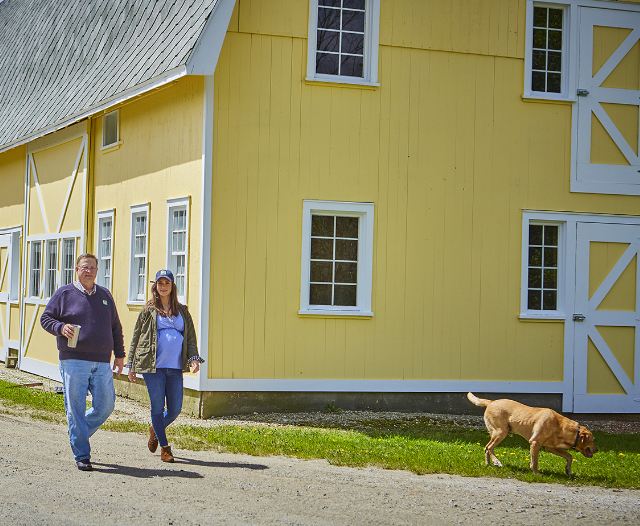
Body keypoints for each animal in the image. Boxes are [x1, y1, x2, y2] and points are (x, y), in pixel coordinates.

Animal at [468, 394, 596, 476]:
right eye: (592, 440)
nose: (597, 450)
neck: (560, 426)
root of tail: (491, 402)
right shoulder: (535, 443)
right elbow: (535, 462)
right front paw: (536, 473)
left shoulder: (551, 448)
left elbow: (569, 456)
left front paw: (568, 470)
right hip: (501, 432)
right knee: (489, 447)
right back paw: (496, 462)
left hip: (496, 433)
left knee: (486, 448)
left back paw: (488, 464)